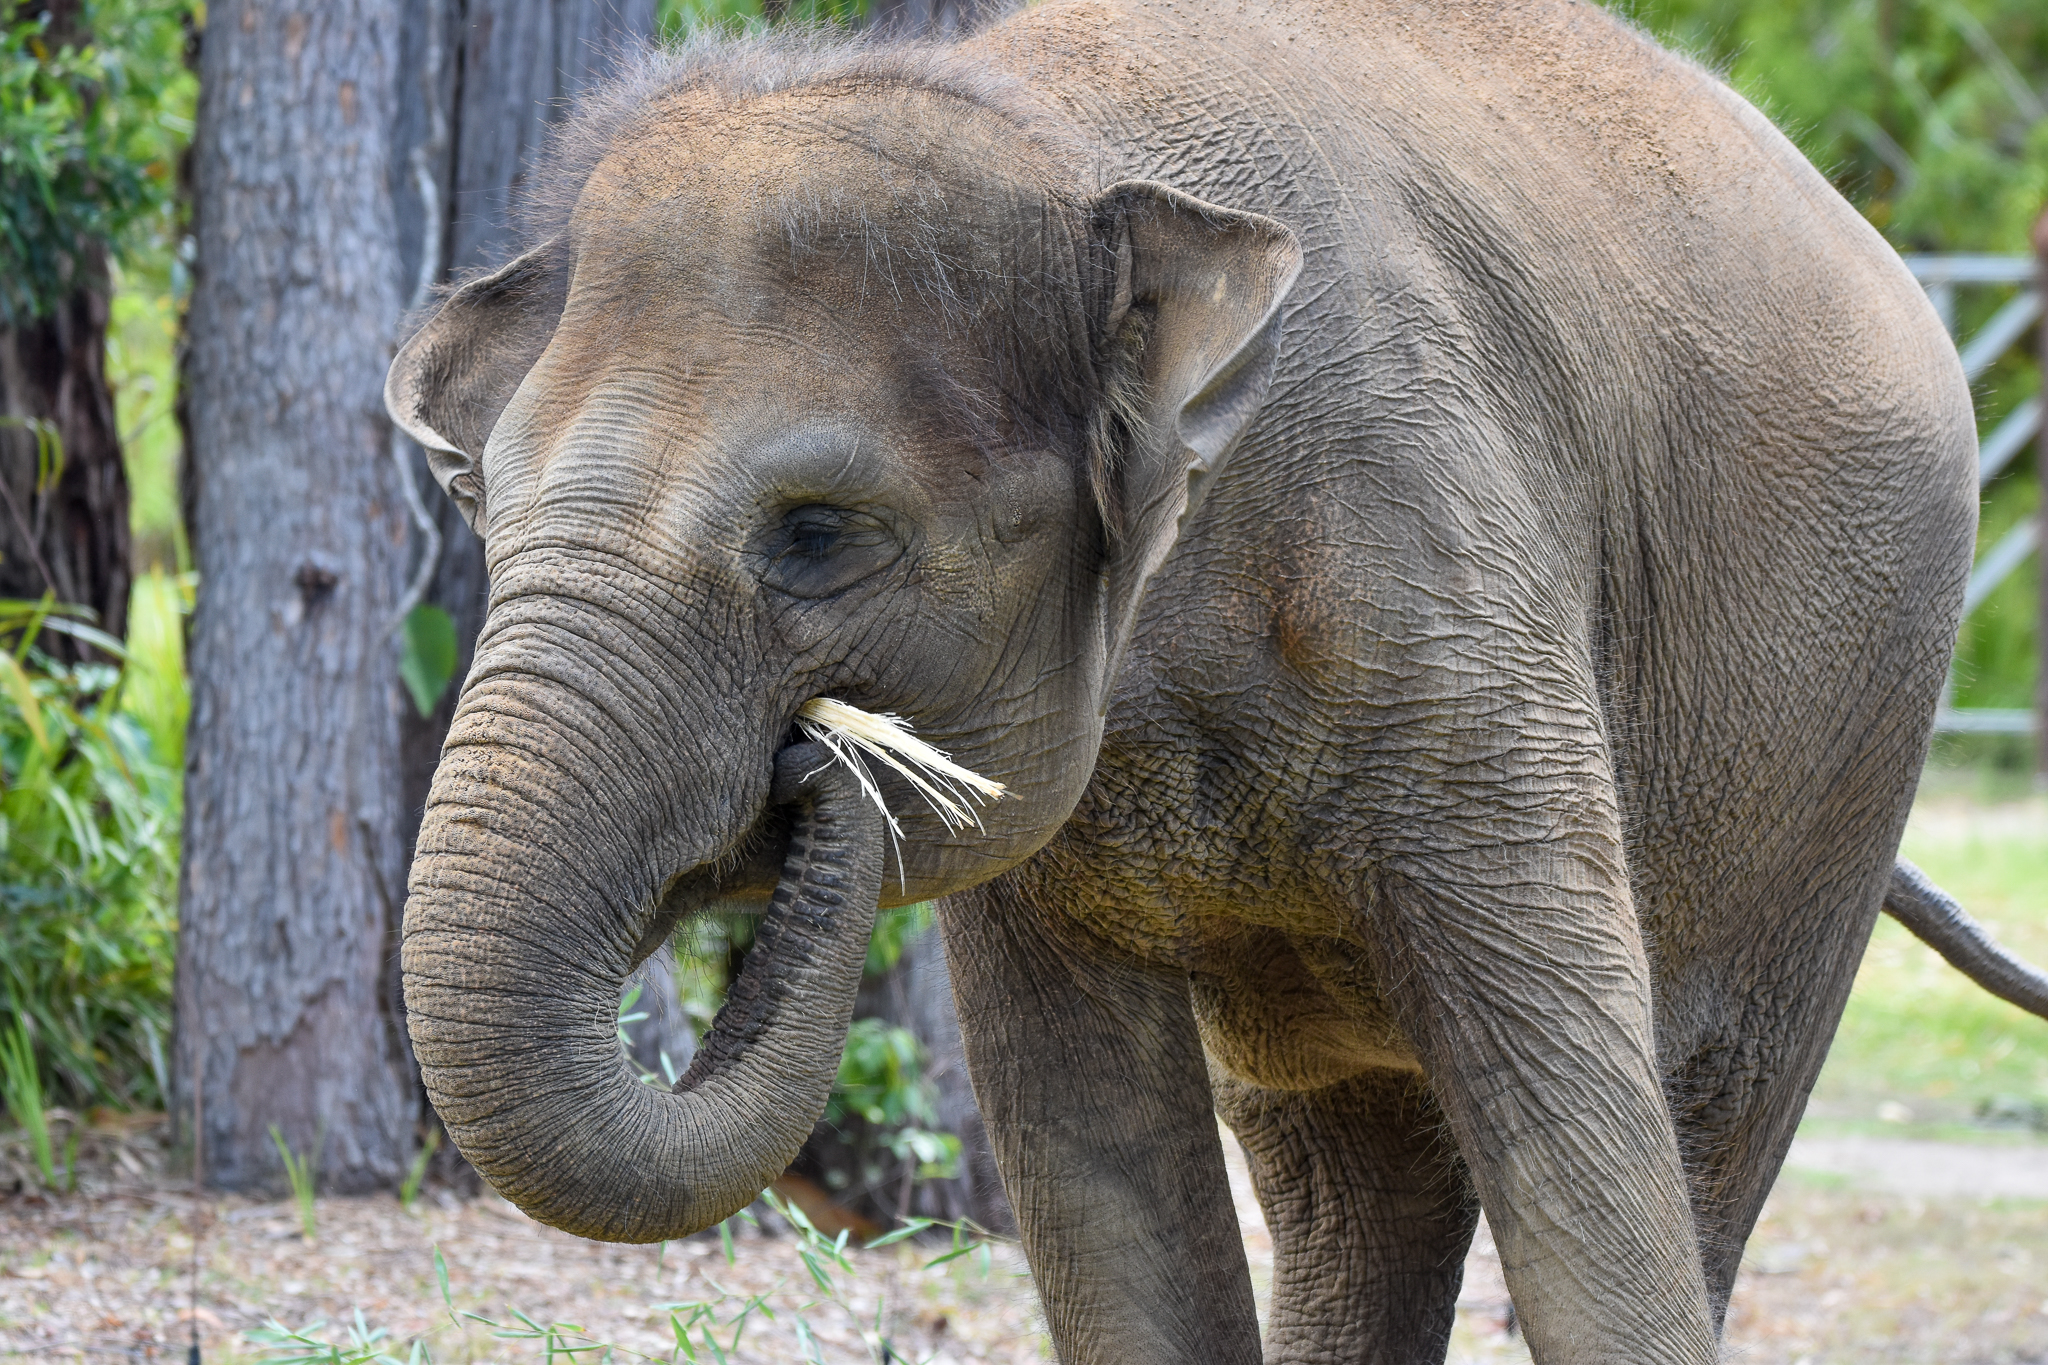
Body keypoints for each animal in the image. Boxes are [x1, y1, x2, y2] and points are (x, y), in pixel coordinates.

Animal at [383, 2, 2048, 1361]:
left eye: (815, 535)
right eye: (478, 500)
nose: (817, 767)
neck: (1053, 136)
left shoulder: (1450, 577)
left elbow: (1576, 1129)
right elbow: (1094, 1164)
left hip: (1843, 746)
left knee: (1701, 1121)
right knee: (1346, 1171)